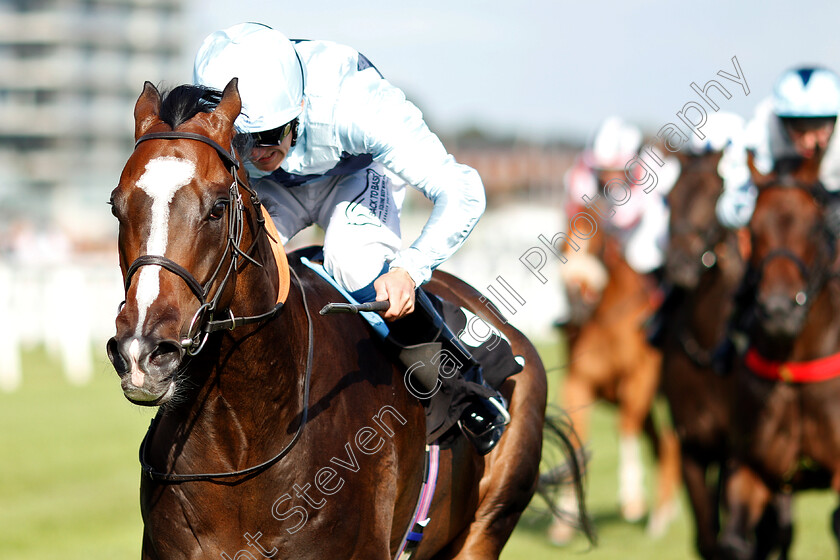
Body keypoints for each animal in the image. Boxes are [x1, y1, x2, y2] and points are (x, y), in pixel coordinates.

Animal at [552, 175, 684, 544]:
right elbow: (575, 437)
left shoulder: (639, 379)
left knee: (670, 441)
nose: (575, 298)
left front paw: (632, 500)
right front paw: (567, 518)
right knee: (663, 443)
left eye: (596, 245)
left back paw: (659, 516)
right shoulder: (578, 382)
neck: (604, 320)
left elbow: (625, 428)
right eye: (561, 247)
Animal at [716, 154, 840, 560]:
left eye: (814, 227)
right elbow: (736, 541)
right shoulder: (753, 466)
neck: (794, 363)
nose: (779, 312)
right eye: (752, 231)